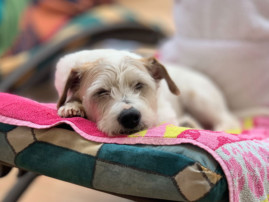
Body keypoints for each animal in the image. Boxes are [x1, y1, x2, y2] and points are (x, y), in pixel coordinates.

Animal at [54, 49, 239, 136]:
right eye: (101, 92)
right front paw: (72, 106)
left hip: (199, 99)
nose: (130, 117)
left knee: (229, 120)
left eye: (139, 84)